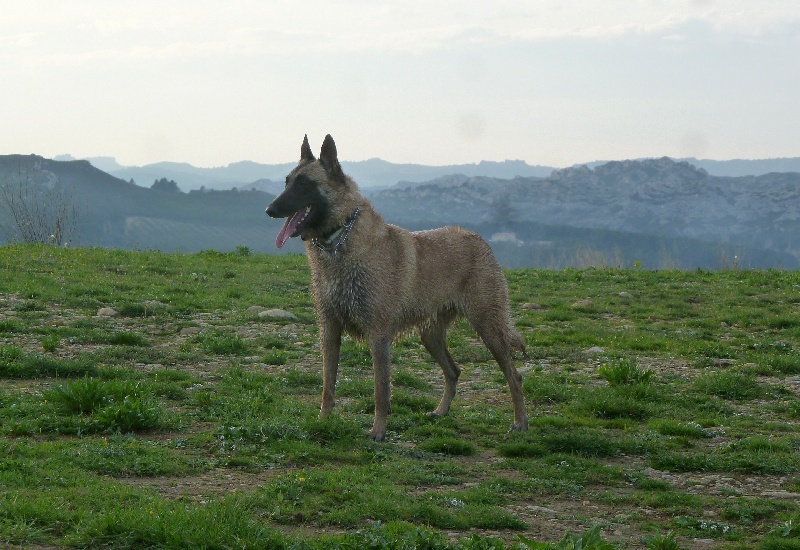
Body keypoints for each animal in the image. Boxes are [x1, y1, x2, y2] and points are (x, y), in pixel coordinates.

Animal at [266, 136, 528, 442]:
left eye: (304, 184)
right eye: (287, 182)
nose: (269, 210)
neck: (340, 240)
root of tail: (479, 239)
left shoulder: (378, 337)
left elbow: (381, 390)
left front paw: (378, 431)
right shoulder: (329, 332)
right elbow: (327, 386)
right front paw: (323, 421)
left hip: (488, 329)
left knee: (514, 375)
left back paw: (520, 422)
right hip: (430, 336)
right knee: (453, 371)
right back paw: (441, 411)